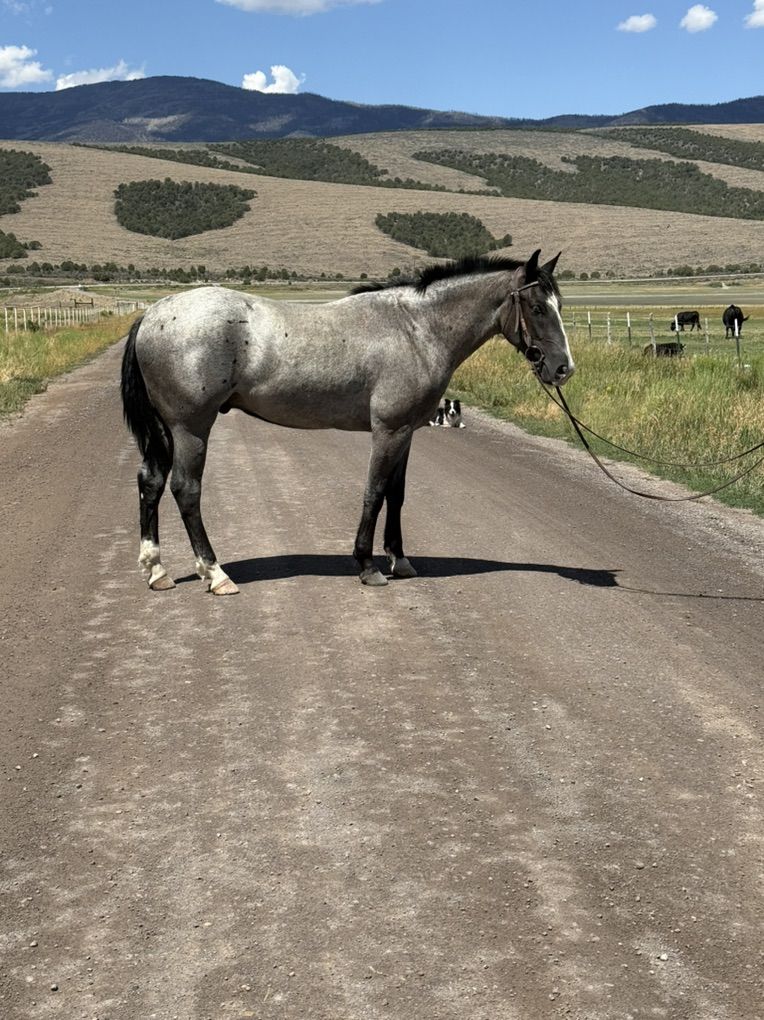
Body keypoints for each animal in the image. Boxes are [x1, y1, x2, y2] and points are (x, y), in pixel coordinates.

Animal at [120, 249, 574, 595]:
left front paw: (399, 559)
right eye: (537, 307)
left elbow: (397, 495)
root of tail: (154, 313)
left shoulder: (406, 433)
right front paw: (368, 565)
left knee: (150, 482)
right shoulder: (388, 431)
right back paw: (215, 574)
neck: (415, 329)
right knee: (186, 489)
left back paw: (157, 570)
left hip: (166, 431)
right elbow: (374, 493)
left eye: (559, 306)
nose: (563, 368)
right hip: (190, 428)